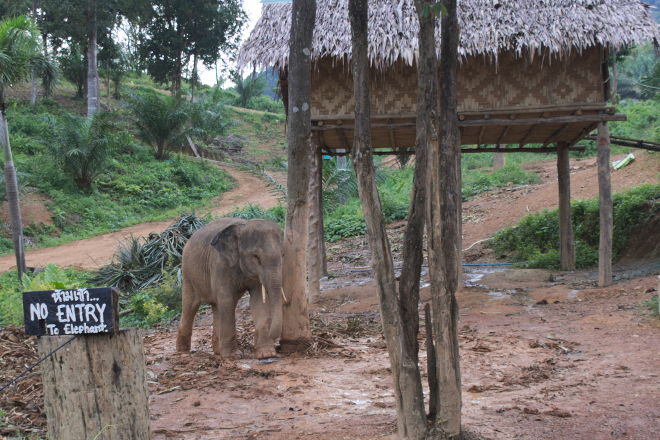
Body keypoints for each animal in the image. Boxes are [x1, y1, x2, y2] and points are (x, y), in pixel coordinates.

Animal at [176, 217, 286, 359]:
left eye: (283, 255)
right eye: (256, 256)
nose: (278, 344)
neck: (242, 226)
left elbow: (258, 301)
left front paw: (266, 354)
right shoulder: (220, 264)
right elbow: (226, 300)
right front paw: (233, 356)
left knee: (217, 306)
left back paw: (218, 351)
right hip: (188, 274)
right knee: (190, 307)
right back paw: (183, 352)